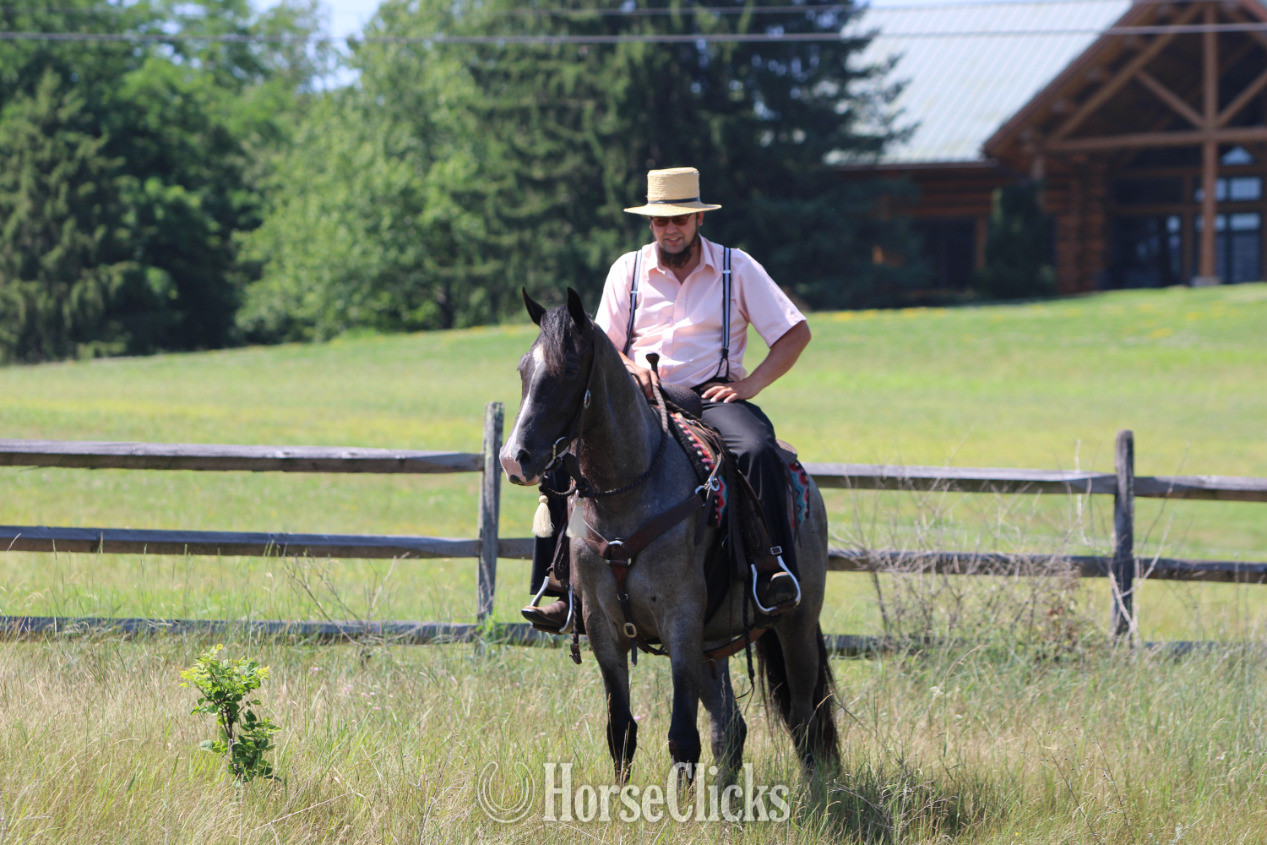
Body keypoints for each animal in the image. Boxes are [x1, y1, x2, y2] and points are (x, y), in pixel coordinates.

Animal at [499, 287, 839, 785]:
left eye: (569, 370)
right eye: (524, 368)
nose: (513, 458)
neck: (628, 492)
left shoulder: (680, 621)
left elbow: (682, 737)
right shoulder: (603, 629)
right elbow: (620, 731)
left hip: (794, 623)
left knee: (803, 717)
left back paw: (818, 791)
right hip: (713, 642)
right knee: (730, 727)